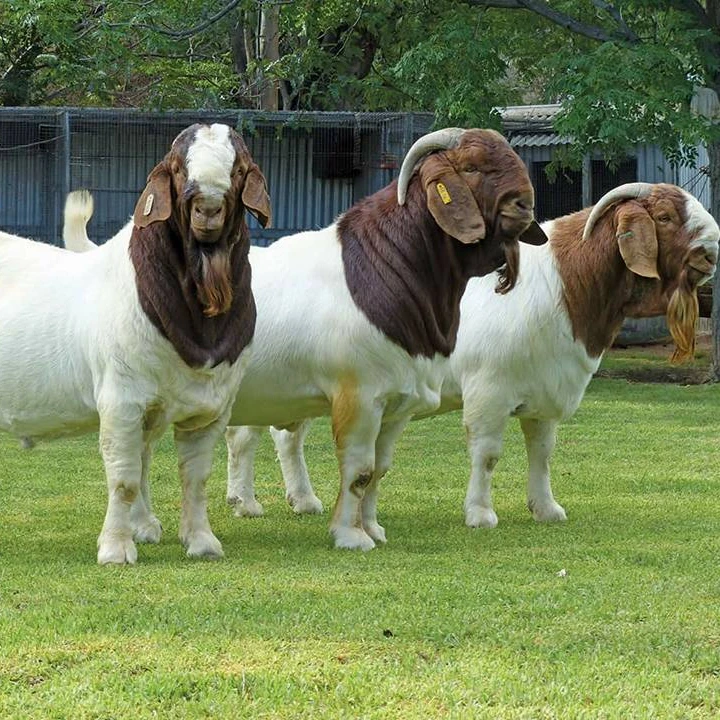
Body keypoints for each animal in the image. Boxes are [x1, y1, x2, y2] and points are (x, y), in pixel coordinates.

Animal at [1, 123, 271, 564]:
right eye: (178, 169)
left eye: (239, 169)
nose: (208, 208)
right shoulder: (121, 401)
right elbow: (125, 478)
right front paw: (116, 547)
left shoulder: (211, 407)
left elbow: (194, 479)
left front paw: (200, 541)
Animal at [65, 127, 547, 551]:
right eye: (472, 167)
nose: (525, 204)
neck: (388, 265)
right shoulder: (358, 395)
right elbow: (358, 469)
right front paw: (349, 535)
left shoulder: (398, 402)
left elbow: (380, 469)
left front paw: (372, 529)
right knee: (142, 453)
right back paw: (145, 527)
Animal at [225, 183, 719, 529]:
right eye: (665, 215)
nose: (712, 249)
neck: (566, 284)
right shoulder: (489, 389)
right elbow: (487, 454)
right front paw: (480, 513)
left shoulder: (545, 390)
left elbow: (543, 453)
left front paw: (546, 508)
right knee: (247, 438)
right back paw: (247, 503)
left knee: (282, 438)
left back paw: (299, 500)